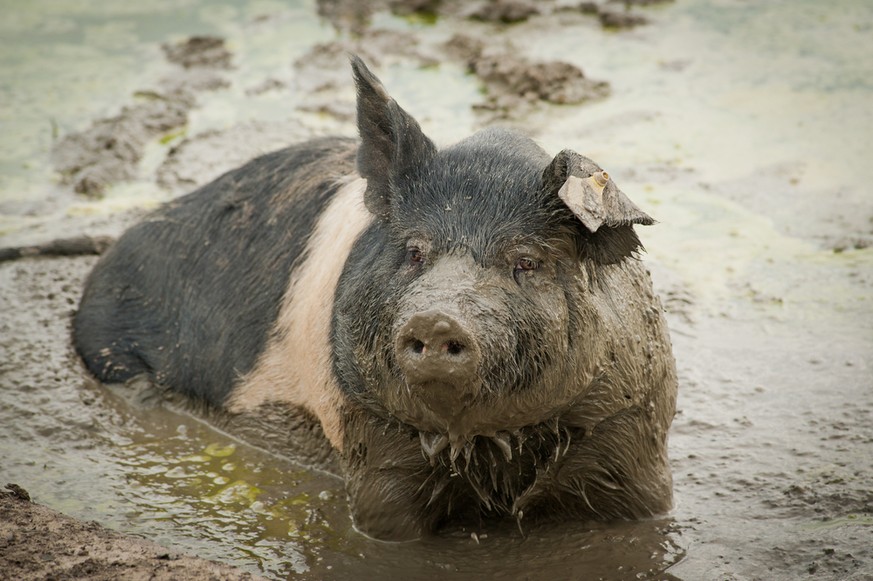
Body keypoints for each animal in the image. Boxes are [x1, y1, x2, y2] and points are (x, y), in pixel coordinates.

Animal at [73, 55, 676, 540]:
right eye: (413, 251)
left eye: (526, 262)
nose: (437, 320)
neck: (487, 451)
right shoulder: (369, 437)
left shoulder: (634, 432)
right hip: (114, 350)